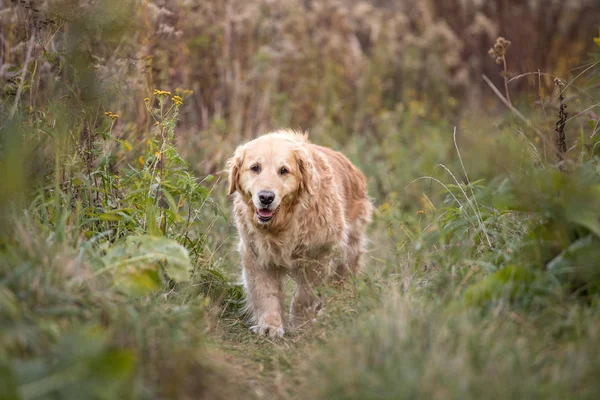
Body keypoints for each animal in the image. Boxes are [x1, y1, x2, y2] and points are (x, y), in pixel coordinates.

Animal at [227, 130, 372, 336]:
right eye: (255, 168)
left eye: (284, 170)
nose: (266, 197)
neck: (282, 225)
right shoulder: (256, 254)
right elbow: (265, 291)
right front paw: (269, 326)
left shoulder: (318, 256)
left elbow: (303, 296)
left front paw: (299, 323)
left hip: (347, 253)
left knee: (341, 283)